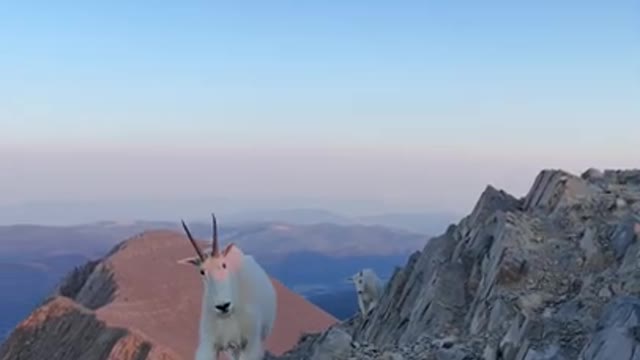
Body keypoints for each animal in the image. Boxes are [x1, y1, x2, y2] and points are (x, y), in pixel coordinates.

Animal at [178, 214, 276, 360]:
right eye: (202, 272)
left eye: (224, 265)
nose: (223, 306)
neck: (228, 316)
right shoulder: (210, 343)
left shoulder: (251, 342)